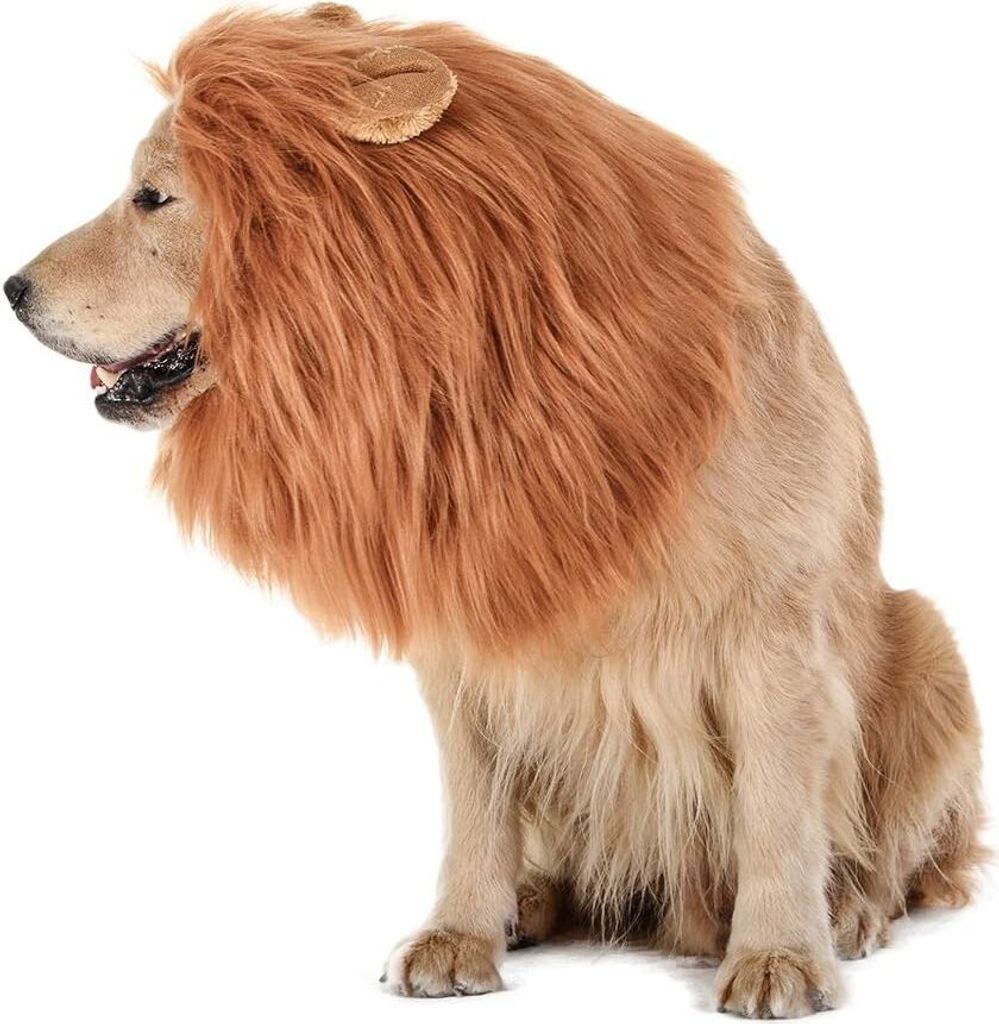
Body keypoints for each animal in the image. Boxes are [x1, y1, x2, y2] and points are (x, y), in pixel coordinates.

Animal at [4, 5, 984, 1017]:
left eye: (152, 197)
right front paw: (459, 933)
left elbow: (778, 809)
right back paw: (533, 901)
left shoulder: (772, 628)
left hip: (927, 641)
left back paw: (849, 912)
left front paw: (780, 954)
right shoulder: (468, 627)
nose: (13, 288)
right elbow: (476, 809)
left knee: (899, 856)